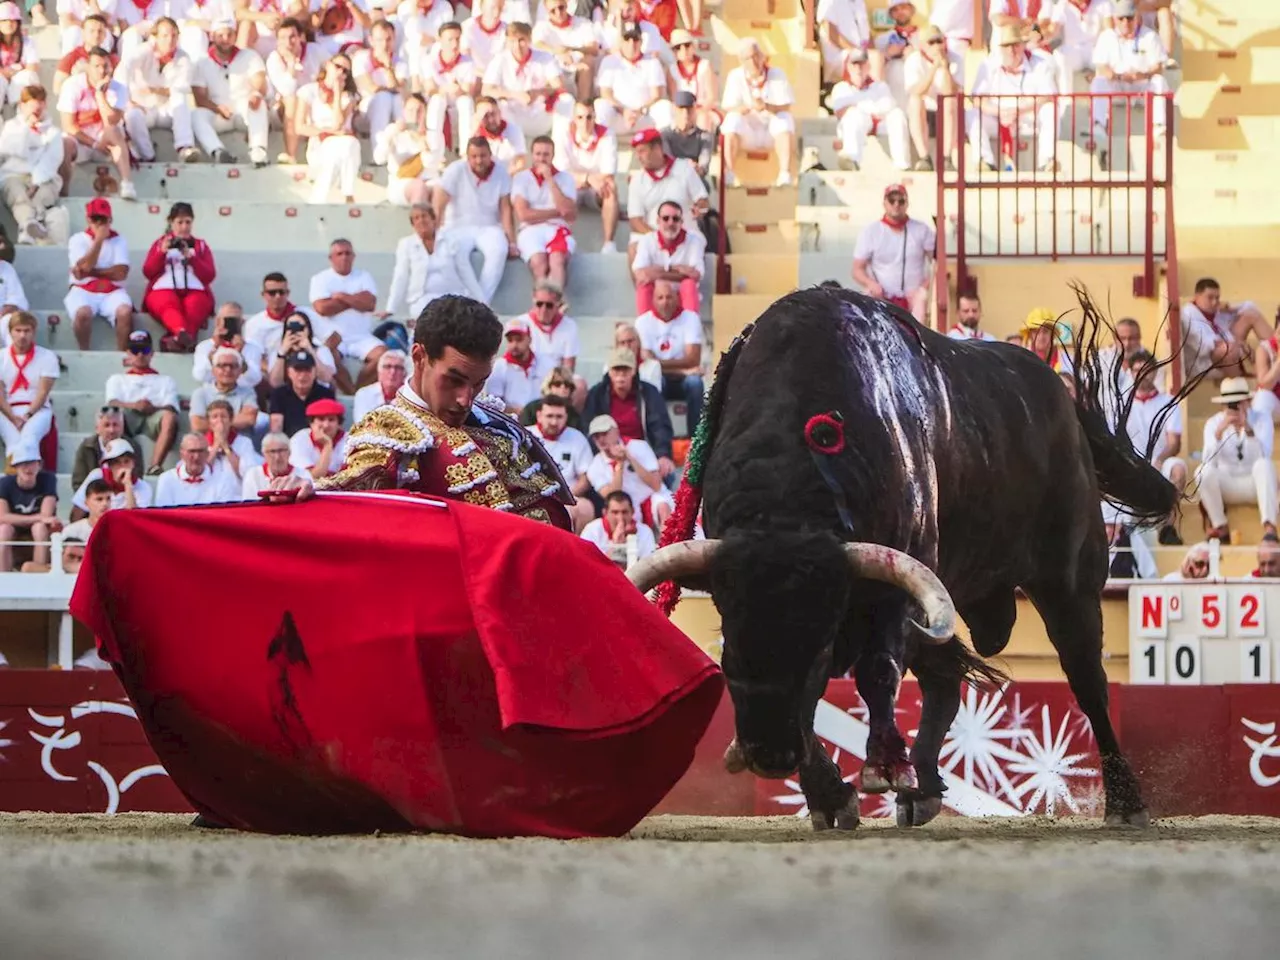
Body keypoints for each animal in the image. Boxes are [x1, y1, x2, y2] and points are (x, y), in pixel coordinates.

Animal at [629, 288, 1177, 834]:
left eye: (821, 644)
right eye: (731, 644)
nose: (768, 753)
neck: (783, 505)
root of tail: (1060, 394)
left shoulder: (897, 585)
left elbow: (876, 672)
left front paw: (882, 769)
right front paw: (831, 797)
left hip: (1068, 580)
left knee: (1087, 680)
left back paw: (1126, 803)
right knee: (945, 679)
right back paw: (924, 790)